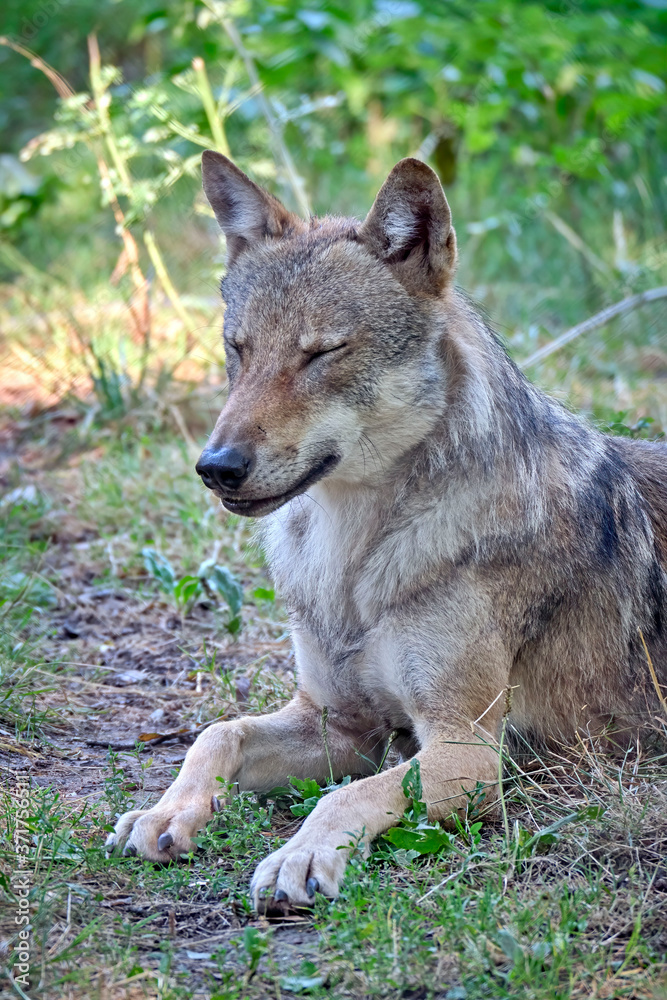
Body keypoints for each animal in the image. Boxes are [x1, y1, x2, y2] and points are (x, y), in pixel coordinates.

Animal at [105, 152, 667, 912]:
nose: (215, 467)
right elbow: (217, 733)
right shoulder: (342, 723)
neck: (352, 556)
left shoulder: (466, 750)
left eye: (321, 354)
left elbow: (344, 797)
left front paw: (300, 855)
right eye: (238, 349)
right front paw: (166, 811)